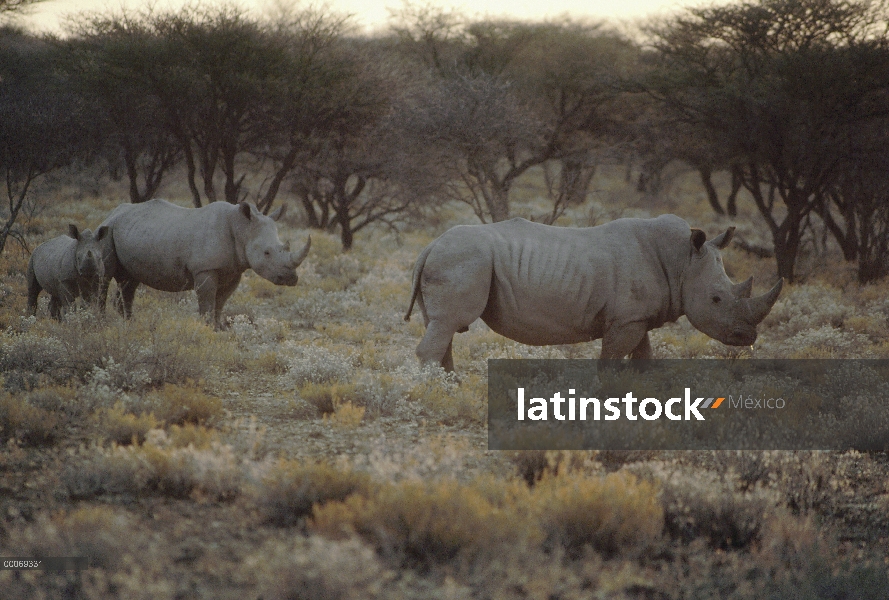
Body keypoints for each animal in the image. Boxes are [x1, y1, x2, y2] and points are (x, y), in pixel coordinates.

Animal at [98, 199, 308, 328]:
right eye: (267, 252)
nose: (291, 278)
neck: (242, 228)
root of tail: (112, 212)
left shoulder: (233, 270)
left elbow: (220, 302)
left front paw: (219, 328)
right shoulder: (204, 269)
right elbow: (207, 302)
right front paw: (207, 329)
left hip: (131, 231)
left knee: (130, 280)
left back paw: (130, 322)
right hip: (107, 230)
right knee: (105, 276)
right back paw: (102, 321)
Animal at [404, 216, 784, 370]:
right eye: (717, 299)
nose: (747, 337)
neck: (682, 261)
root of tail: (429, 246)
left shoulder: (636, 317)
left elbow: (645, 359)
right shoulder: (625, 320)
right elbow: (611, 359)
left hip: (455, 258)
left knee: (443, 325)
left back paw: (449, 386)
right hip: (463, 259)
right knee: (447, 323)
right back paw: (433, 390)